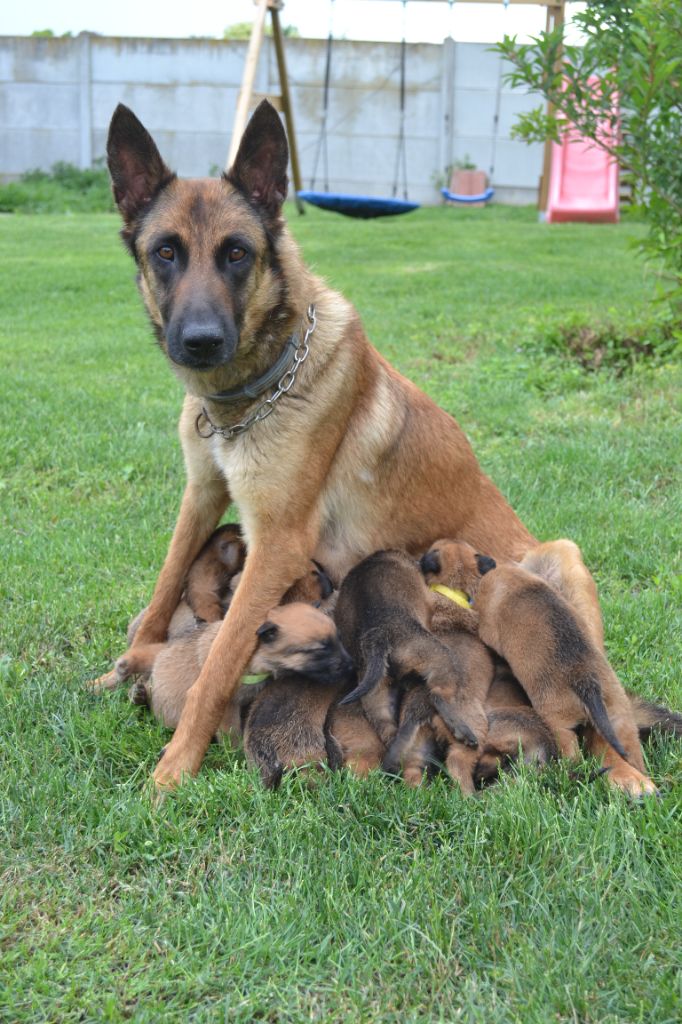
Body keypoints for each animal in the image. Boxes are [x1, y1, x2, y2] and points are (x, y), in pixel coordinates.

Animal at [99, 97, 655, 798]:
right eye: (166, 252)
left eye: (236, 253)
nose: (200, 341)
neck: (259, 390)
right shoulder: (200, 497)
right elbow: (164, 586)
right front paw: (122, 665)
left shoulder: (276, 545)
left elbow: (219, 662)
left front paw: (173, 766)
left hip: (564, 559)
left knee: (608, 699)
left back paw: (626, 771)